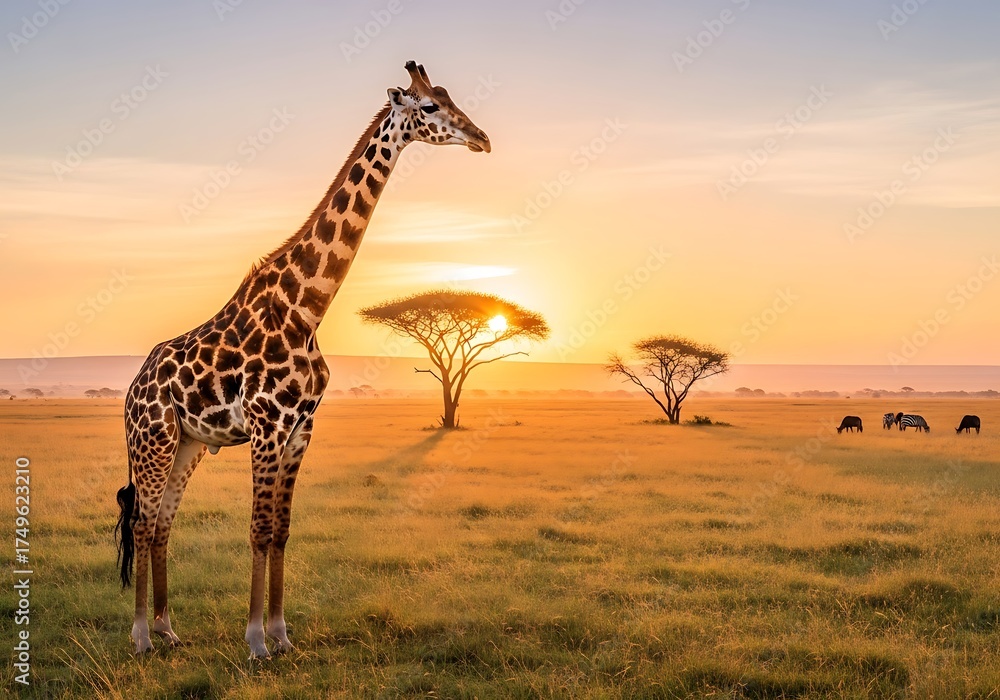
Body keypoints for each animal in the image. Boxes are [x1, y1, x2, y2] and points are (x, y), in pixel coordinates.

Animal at [114, 61, 490, 659]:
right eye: (429, 107)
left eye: (449, 95)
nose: (482, 138)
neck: (307, 309)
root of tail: (131, 388)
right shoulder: (267, 425)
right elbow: (258, 529)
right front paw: (254, 642)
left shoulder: (300, 429)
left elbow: (283, 532)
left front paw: (282, 635)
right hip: (153, 440)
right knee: (145, 524)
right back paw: (142, 638)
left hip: (188, 444)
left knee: (165, 523)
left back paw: (170, 629)